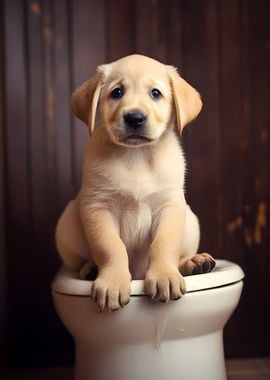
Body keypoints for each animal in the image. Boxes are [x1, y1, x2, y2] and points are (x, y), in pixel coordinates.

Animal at [54, 55, 215, 314]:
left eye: (155, 93)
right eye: (117, 92)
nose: (135, 118)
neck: (136, 156)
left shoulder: (170, 206)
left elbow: (163, 244)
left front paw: (164, 275)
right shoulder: (98, 207)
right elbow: (110, 247)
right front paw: (112, 281)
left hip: (191, 220)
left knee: (180, 254)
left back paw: (193, 262)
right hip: (67, 223)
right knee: (76, 262)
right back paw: (90, 268)